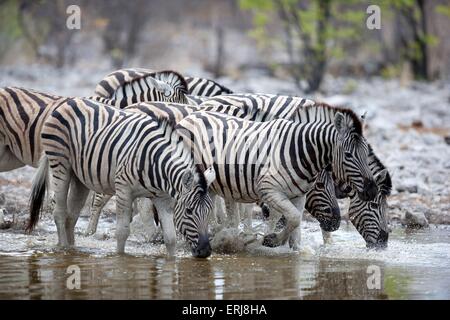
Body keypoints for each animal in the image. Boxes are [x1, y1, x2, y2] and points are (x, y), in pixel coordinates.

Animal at [26, 97, 216, 258]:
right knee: (59, 212)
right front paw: (120, 258)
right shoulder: (124, 189)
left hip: (79, 178)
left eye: (209, 212)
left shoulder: (163, 199)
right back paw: (64, 250)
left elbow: (170, 237)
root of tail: (67, 102)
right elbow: (122, 232)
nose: (205, 252)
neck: (156, 164)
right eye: (189, 211)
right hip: (60, 164)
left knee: (71, 217)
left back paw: (74, 250)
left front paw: (171, 262)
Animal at [176, 104, 376, 249]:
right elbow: (294, 218)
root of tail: (189, 117)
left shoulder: (298, 195)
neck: (299, 152)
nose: (372, 191)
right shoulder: (268, 189)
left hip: (214, 185)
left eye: (366, 153)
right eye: (348, 155)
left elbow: (296, 227)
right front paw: (272, 240)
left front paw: (293, 250)